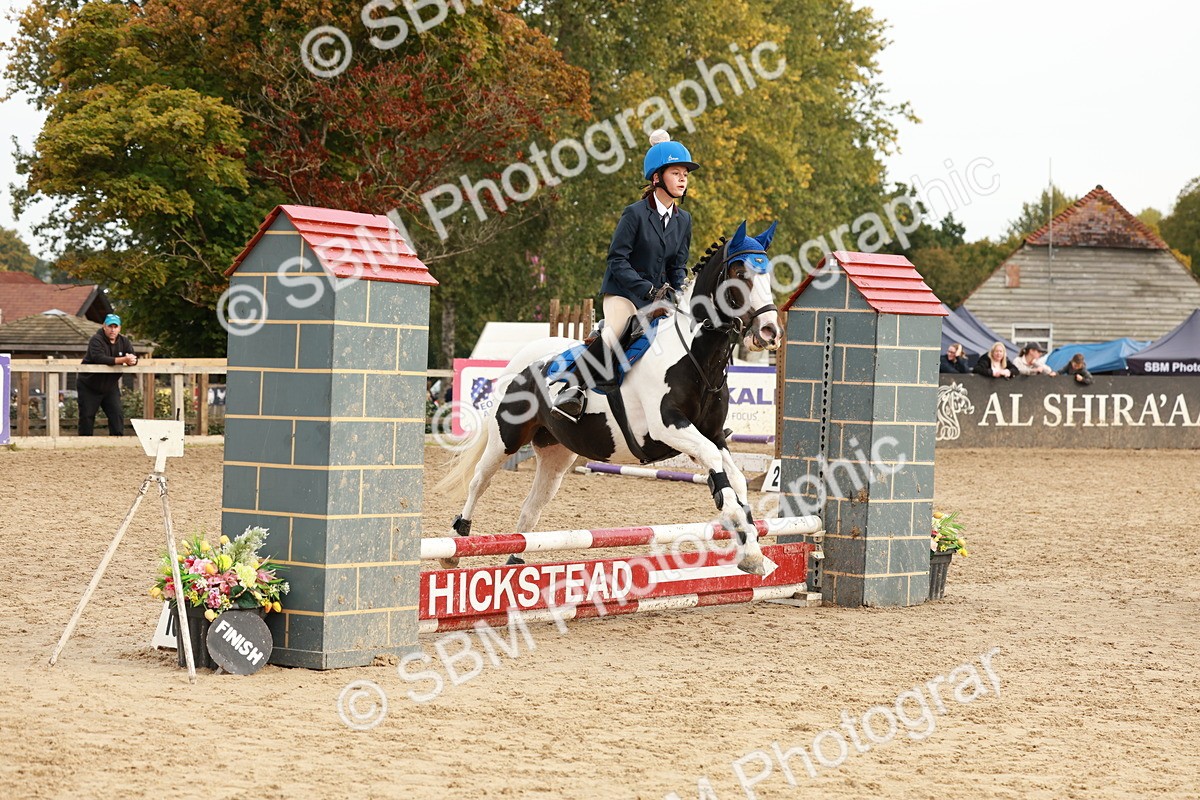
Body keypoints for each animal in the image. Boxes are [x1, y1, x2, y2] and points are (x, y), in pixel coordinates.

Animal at [435, 221, 782, 574]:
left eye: (768, 274)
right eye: (739, 272)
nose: (770, 332)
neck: (695, 357)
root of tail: (520, 359)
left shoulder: (711, 433)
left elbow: (735, 478)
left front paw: (753, 552)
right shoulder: (669, 426)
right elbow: (718, 470)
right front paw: (738, 526)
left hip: (555, 452)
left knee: (533, 504)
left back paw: (517, 562)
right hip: (505, 438)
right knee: (479, 481)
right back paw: (456, 544)